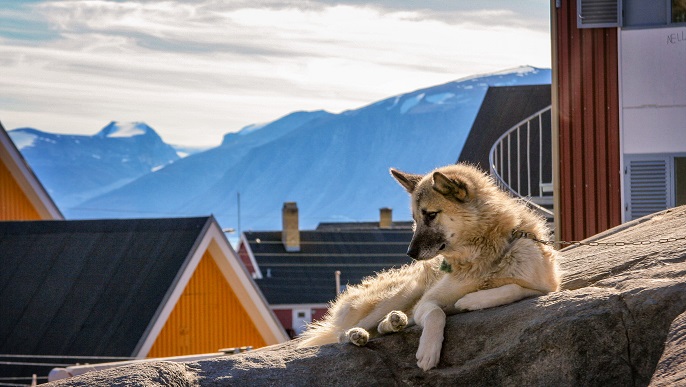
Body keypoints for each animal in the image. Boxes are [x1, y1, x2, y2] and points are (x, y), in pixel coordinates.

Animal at [298, 162, 560, 372]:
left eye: (431, 215)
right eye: (415, 219)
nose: (410, 253)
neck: (483, 255)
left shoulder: (548, 286)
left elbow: (516, 288)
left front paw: (471, 301)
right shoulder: (427, 302)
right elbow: (436, 313)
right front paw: (428, 351)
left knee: (385, 325)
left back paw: (394, 322)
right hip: (401, 294)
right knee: (343, 334)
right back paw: (359, 334)